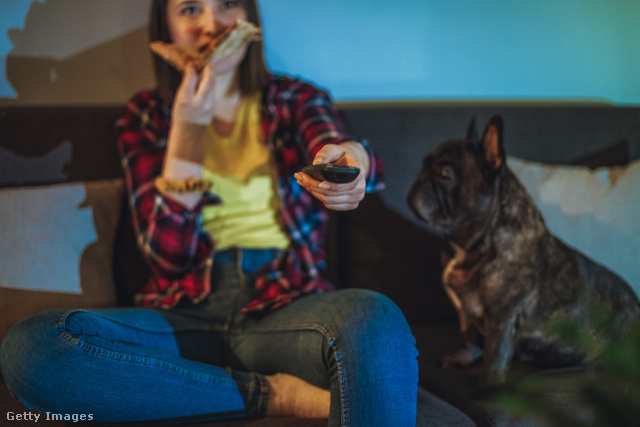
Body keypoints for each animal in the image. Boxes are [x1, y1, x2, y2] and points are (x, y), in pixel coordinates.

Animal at [408, 114, 636, 384]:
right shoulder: (465, 313)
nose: (418, 179)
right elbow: (468, 336)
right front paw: (461, 357)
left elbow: (494, 356)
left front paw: (490, 384)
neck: (471, 243)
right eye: (423, 165)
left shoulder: (503, 317)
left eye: (445, 173)